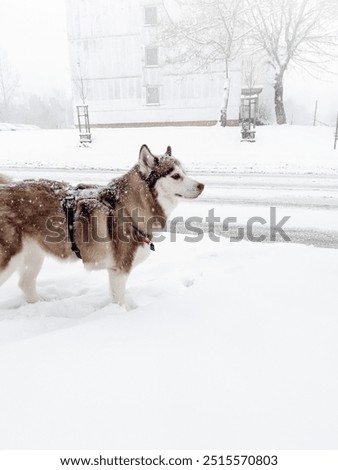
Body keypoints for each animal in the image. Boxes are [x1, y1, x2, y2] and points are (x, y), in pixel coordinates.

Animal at [0, 147, 203, 308]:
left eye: (185, 172)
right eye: (175, 176)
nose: (202, 185)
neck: (126, 206)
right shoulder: (119, 270)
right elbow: (119, 301)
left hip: (33, 255)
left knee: (25, 283)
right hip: (9, 260)